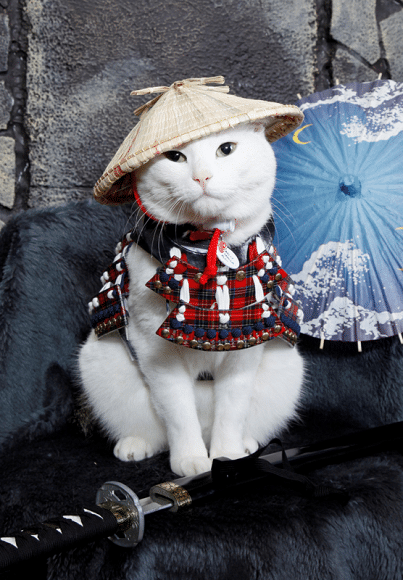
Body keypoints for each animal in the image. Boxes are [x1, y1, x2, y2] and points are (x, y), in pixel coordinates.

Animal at [79, 122, 304, 476]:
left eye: (226, 149)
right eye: (174, 157)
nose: (202, 177)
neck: (204, 246)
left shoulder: (245, 351)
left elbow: (232, 411)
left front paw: (227, 456)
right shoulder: (154, 349)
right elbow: (178, 414)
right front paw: (192, 461)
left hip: (285, 373)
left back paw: (246, 446)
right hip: (101, 366)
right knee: (151, 429)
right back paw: (135, 445)